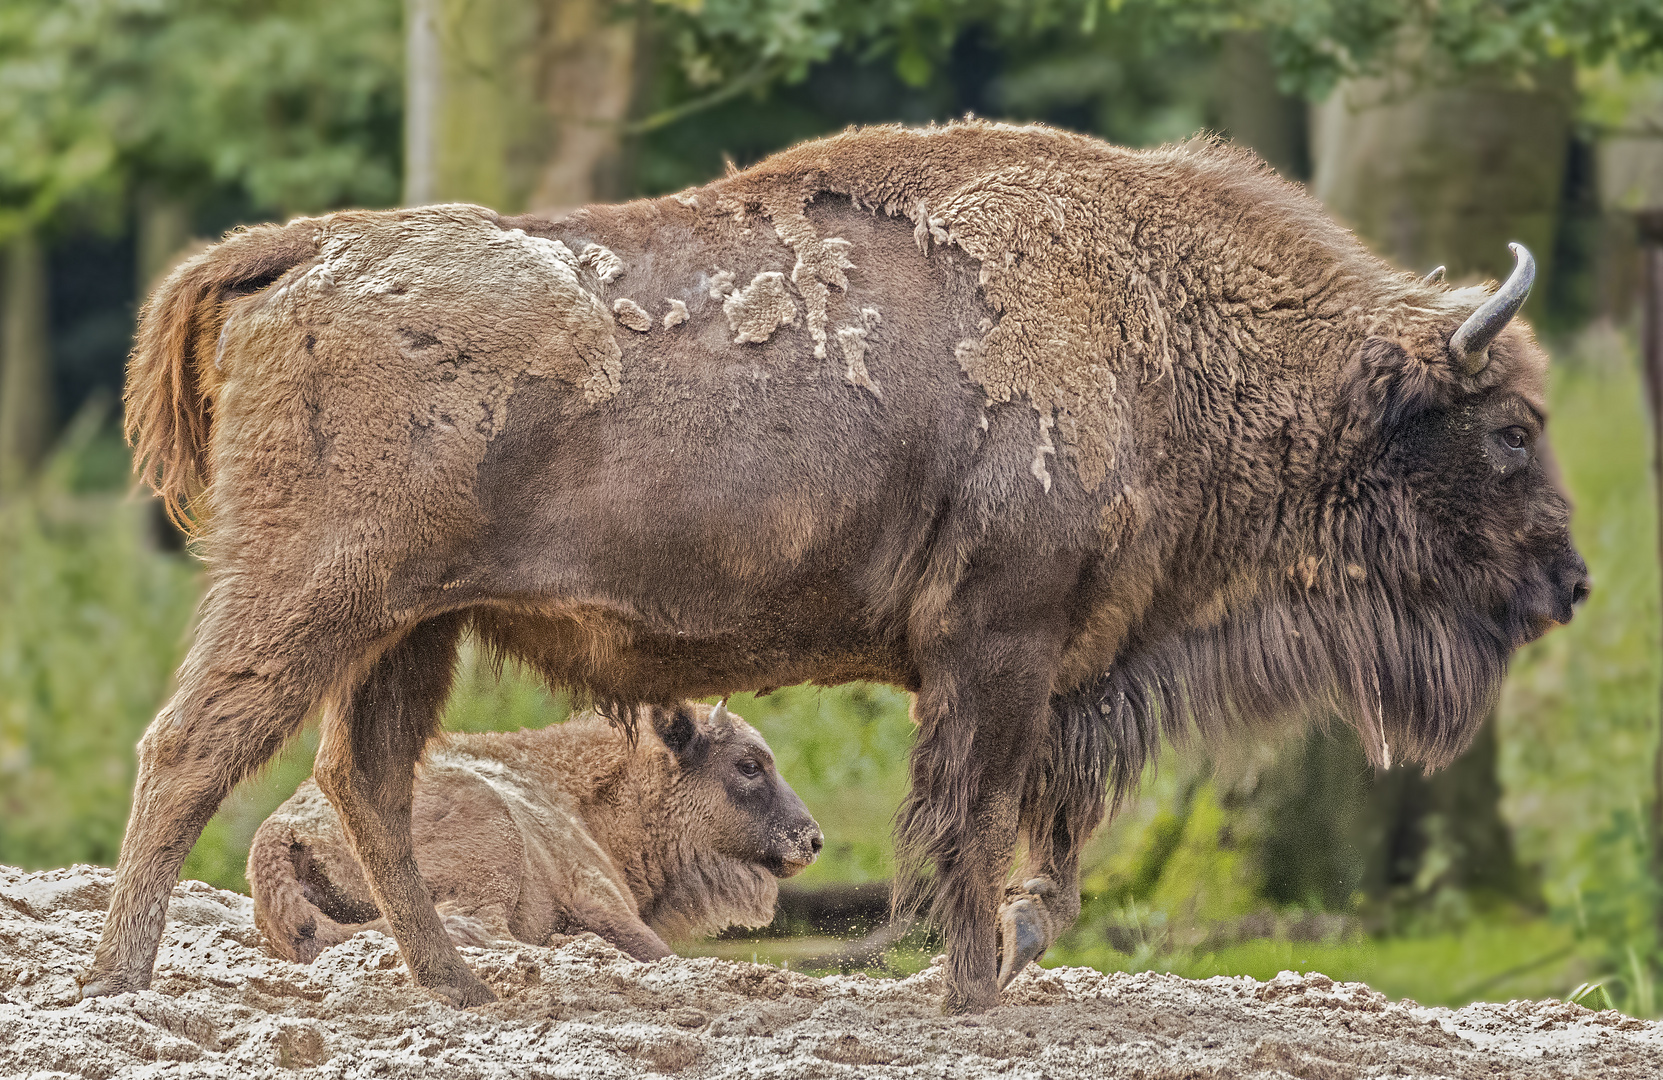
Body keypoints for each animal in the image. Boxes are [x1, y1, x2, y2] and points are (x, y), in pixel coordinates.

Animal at [246, 702, 818, 965]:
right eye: (748, 766)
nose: (812, 840)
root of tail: (282, 827)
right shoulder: (601, 898)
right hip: (493, 848)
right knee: (481, 927)